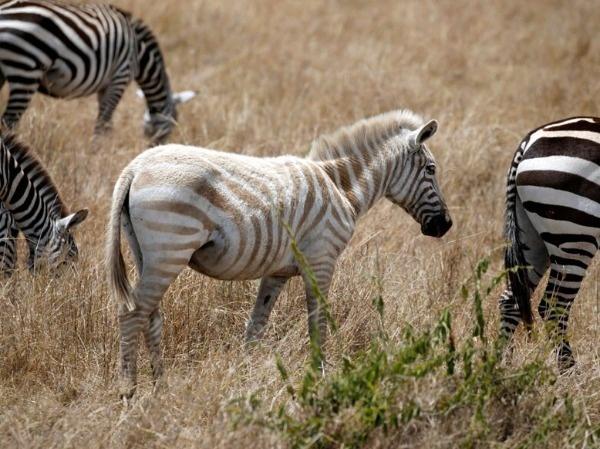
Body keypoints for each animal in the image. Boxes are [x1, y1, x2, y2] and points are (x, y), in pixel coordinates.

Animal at [0, 0, 195, 143]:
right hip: (26, 69)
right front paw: (97, 153)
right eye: (174, 123)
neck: (139, 54)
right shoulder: (120, 77)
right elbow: (103, 123)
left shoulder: (106, 84)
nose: (156, 148)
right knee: (8, 122)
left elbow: (106, 124)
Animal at [108, 108, 452, 396]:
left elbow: (256, 326)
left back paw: (160, 387)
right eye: (431, 169)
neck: (340, 188)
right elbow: (317, 323)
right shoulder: (321, 261)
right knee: (132, 312)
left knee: (151, 315)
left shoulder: (277, 272)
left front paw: (244, 378)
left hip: (147, 255)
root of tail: (136, 167)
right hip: (170, 248)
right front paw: (320, 377)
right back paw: (128, 390)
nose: (445, 225)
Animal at [502, 116, 600, 372]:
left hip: (531, 237)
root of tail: (530, 141)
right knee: (554, 307)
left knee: (510, 300)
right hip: (574, 236)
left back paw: (500, 366)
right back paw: (571, 375)